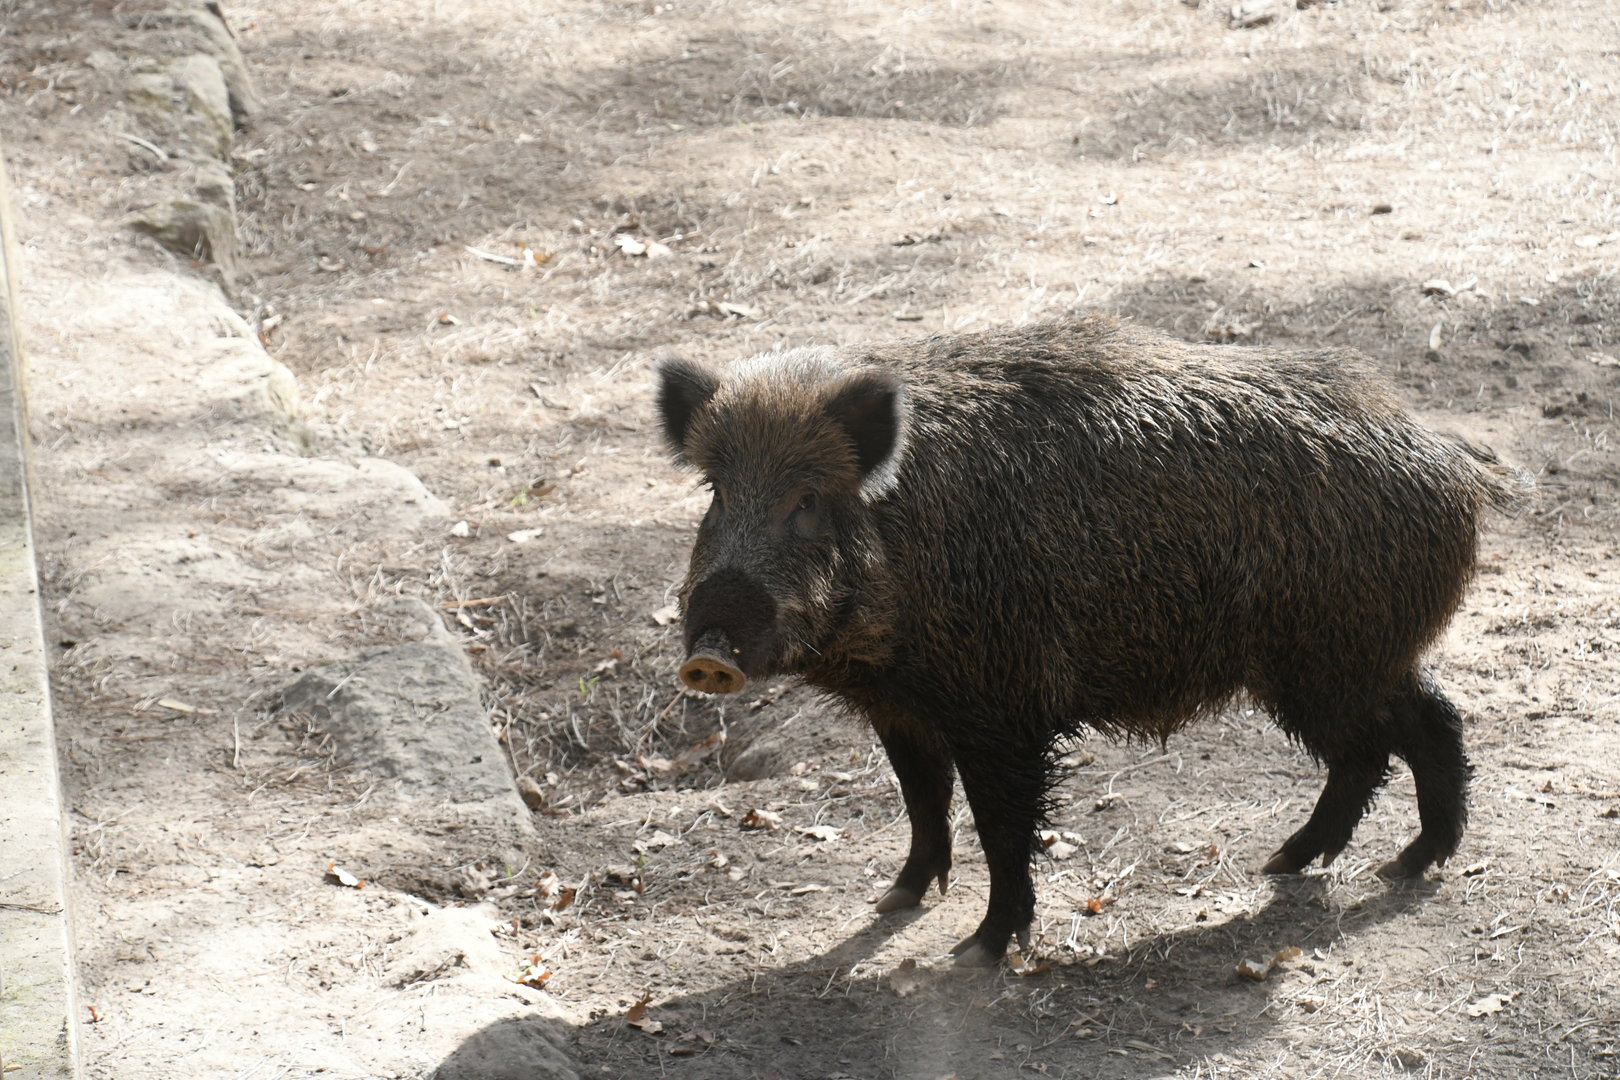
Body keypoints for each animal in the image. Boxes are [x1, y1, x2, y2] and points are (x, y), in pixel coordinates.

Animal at [655, 316, 1522, 967]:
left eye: (806, 500)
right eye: (716, 492)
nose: (707, 653)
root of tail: (1457, 463)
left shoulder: (1001, 709)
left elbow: (1003, 828)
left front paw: (980, 951)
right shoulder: (904, 709)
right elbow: (921, 803)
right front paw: (896, 898)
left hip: (1323, 664)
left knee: (1394, 737)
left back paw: (1367, 865)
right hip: (1355, 657)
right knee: (1417, 725)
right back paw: (1337, 863)